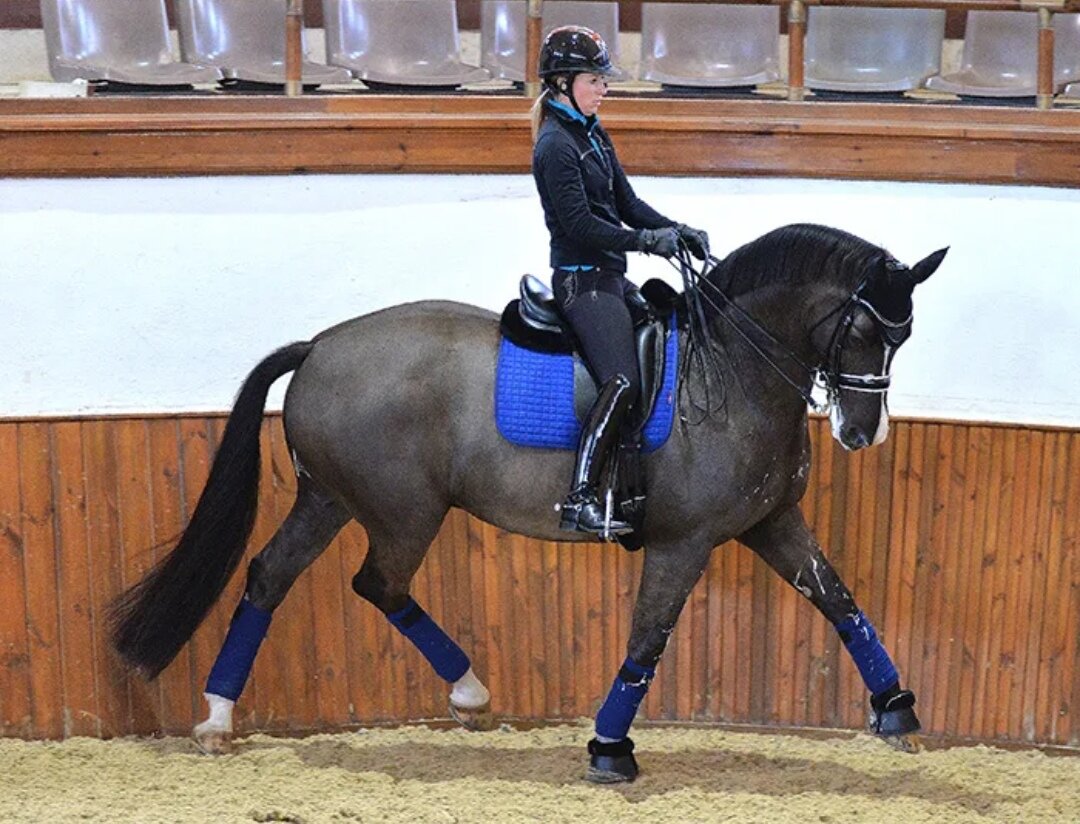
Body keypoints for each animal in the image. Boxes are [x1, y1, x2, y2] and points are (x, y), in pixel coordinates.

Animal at [113, 225, 950, 786]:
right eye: (864, 327)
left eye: (906, 335)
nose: (863, 432)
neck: (732, 372)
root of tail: (318, 345)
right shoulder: (683, 543)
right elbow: (648, 641)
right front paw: (609, 749)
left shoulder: (771, 524)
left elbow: (840, 601)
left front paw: (897, 709)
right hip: (403, 511)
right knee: (377, 584)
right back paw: (468, 691)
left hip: (329, 500)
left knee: (269, 576)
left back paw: (219, 718)